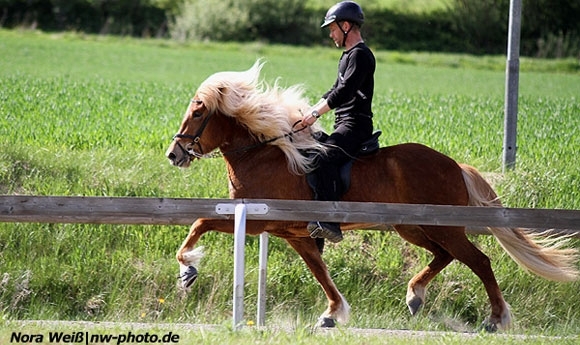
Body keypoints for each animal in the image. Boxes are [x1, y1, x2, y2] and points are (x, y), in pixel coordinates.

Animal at [165, 59, 576, 330]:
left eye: (198, 113)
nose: (174, 154)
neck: (264, 153)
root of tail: (455, 165)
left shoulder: (257, 221)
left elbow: (200, 221)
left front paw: (188, 269)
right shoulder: (292, 233)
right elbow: (320, 271)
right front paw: (332, 313)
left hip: (444, 226)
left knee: (479, 261)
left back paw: (496, 318)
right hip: (413, 228)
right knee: (445, 256)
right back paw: (415, 296)